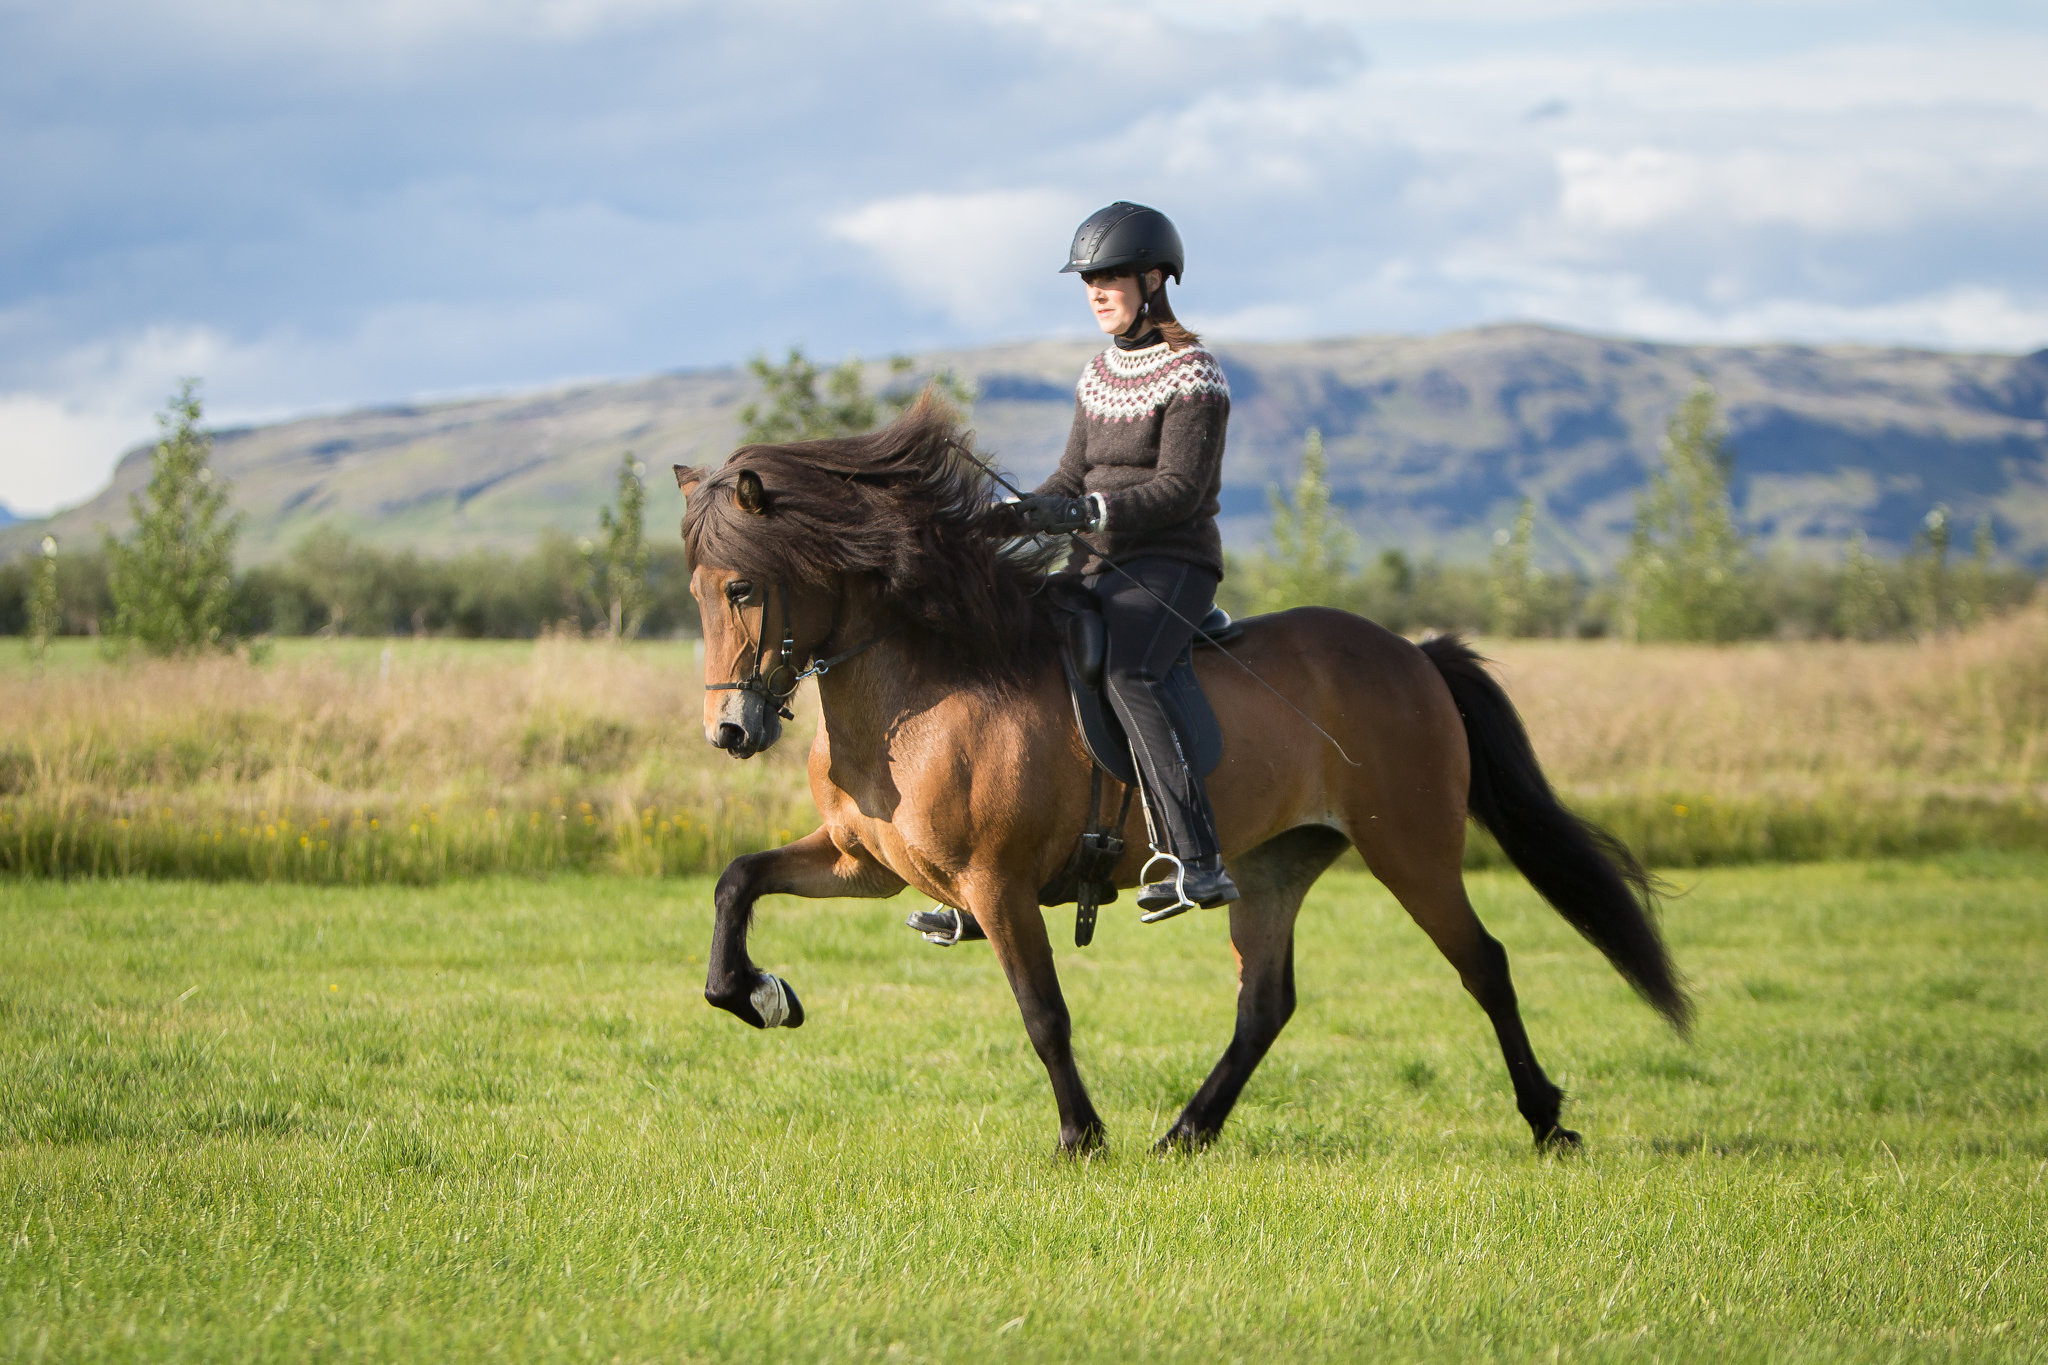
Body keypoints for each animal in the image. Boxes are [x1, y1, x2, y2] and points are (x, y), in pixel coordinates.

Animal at [679, 401, 1687, 1162]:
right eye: (696, 591)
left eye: (743, 588)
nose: (730, 731)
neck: (922, 686)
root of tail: (1414, 654)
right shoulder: (867, 862)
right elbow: (738, 879)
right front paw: (760, 994)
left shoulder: (997, 883)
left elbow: (1044, 1012)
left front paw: (1081, 1139)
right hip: (1278, 863)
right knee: (1266, 1002)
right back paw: (1188, 1132)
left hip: (1411, 849)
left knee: (1485, 965)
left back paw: (1548, 1122)